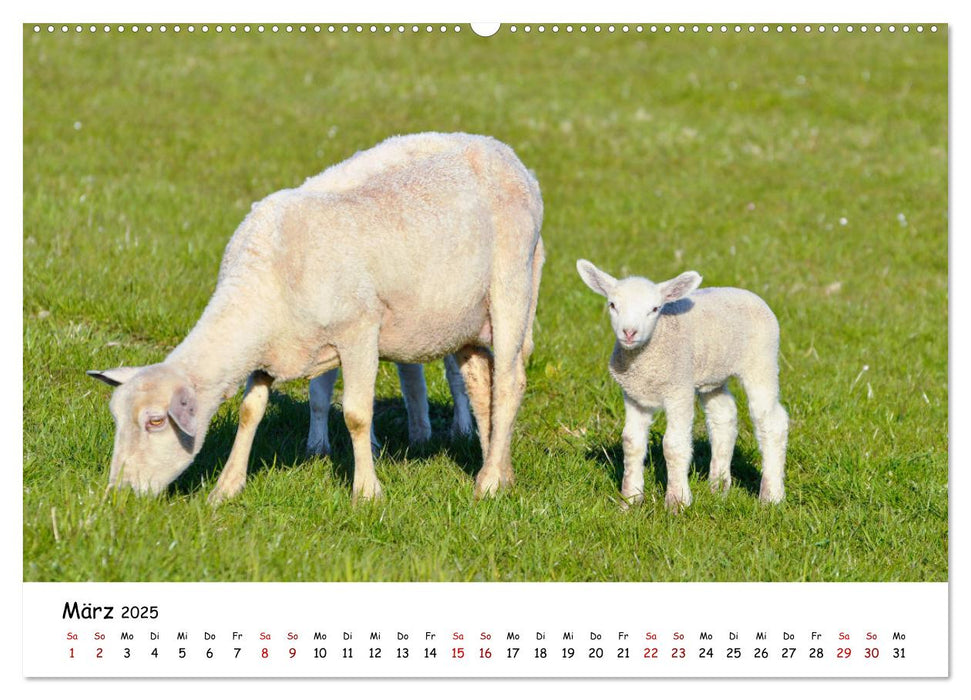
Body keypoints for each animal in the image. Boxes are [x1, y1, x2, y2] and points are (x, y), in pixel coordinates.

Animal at [304, 358, 470, 456]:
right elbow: (318, 395)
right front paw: (317, 448)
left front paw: (371, 448)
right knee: (411, 378)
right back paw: (420, 435)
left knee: (456, 376)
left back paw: (462, 432)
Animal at [576, 260, 788, 512]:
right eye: (612, 305)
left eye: (655, 309)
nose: (629, 332)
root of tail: (746, 293)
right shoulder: (634, 395)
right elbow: (631, 442)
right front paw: (630, 500)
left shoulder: (678, 390)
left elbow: (673, 445)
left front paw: (677, 502)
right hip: (711, 375)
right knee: (723, 416)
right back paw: (718, 486)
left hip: (761, 360)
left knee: (771, 422)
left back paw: (771, 495)